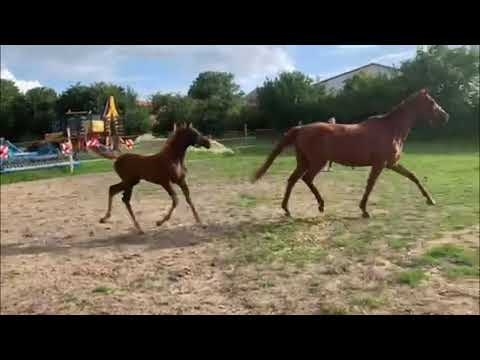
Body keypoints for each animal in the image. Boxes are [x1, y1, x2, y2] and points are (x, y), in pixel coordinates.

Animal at [253, 89, 448, 219]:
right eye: (432, 102)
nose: (446, 116)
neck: (391, 129)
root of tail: (301, 129)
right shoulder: (380, 164)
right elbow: (370, 185)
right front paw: (364, 210)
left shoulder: (391, 164)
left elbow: (413, 176)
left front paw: (430, 200)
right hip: (317, 162)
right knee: (306, 179)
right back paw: (320, 205)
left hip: (304, 162)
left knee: (292, 180)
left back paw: (287, 209)